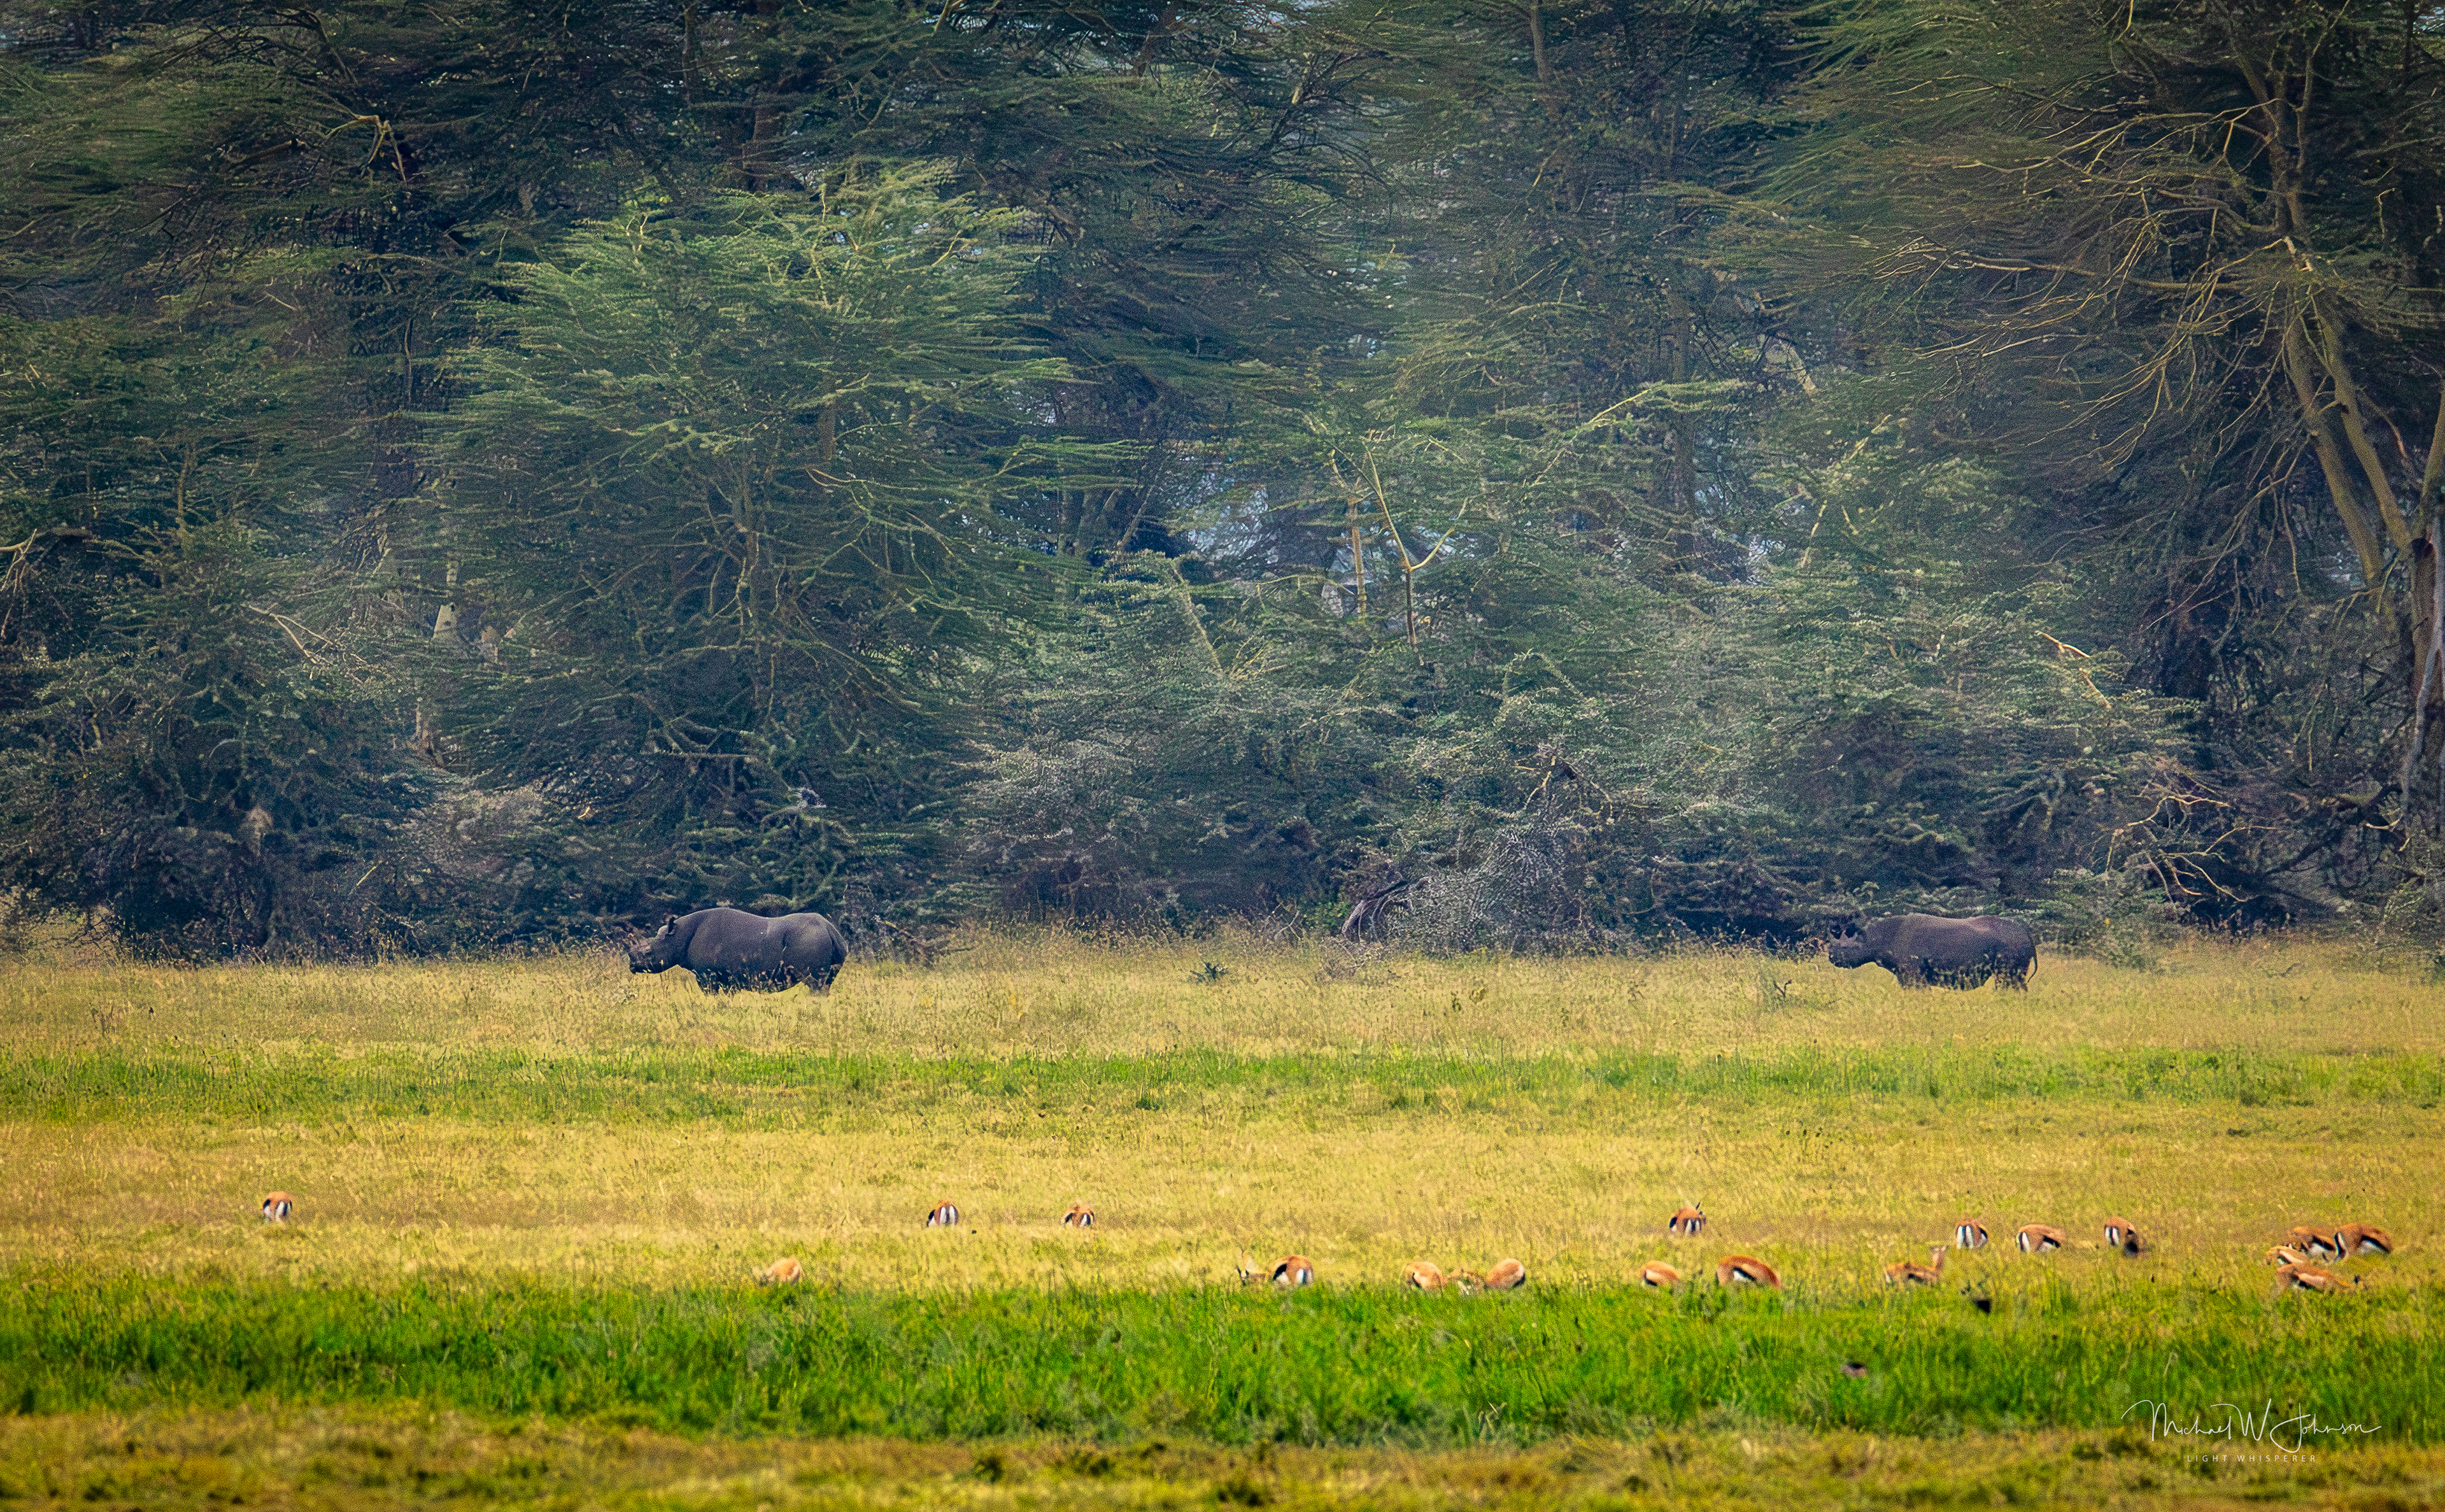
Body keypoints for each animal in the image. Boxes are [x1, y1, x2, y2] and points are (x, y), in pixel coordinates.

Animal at [626, 907, 847, 992]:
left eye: (649, 953)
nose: (631, 965)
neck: (678, 938)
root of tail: (829, 929)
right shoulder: (726, 978)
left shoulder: (707, 975)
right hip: (830, 943)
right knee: (826, 983)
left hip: (809, 939)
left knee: (815, 984)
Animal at [1826, 913, 2036, 989]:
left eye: (1848, 949)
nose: (1831, 956)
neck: (1875, 938)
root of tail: (2026, 933)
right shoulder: (1906, 974)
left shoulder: (1913, 973)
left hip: (2010, 948)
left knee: (2008, 981)